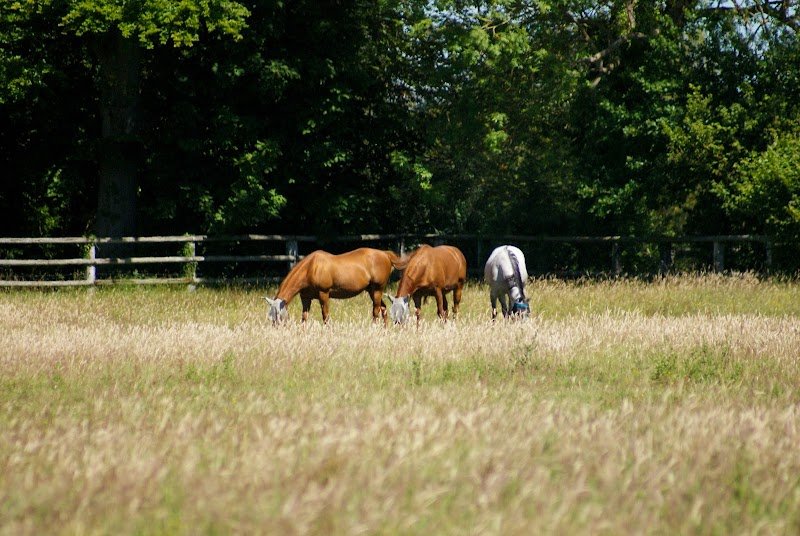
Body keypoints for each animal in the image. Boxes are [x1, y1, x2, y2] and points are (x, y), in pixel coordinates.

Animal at [264, 248, 407, 325]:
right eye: (270, 316)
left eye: (278, 315)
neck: (310, 268)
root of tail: (385, 254)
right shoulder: (305, 298)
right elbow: (304, 317)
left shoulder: (324, 294)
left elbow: (325, 316)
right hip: (372, 291)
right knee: (383, 308)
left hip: (377, 290)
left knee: (376, 311)